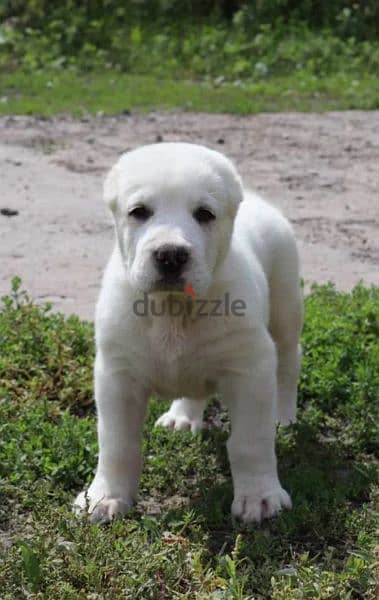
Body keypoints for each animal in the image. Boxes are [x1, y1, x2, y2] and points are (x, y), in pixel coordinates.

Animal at [74, 143, 304, 524]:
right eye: (139, 212)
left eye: (204, 214)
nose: (170, 254)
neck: (172, 312)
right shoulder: (117, 376)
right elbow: (117, 443)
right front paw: (105, 497)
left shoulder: (250, 369)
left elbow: (250, 441)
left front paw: (259, 497)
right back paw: (182, 417)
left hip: (285, 304)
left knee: (288, 361)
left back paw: (283, 414)